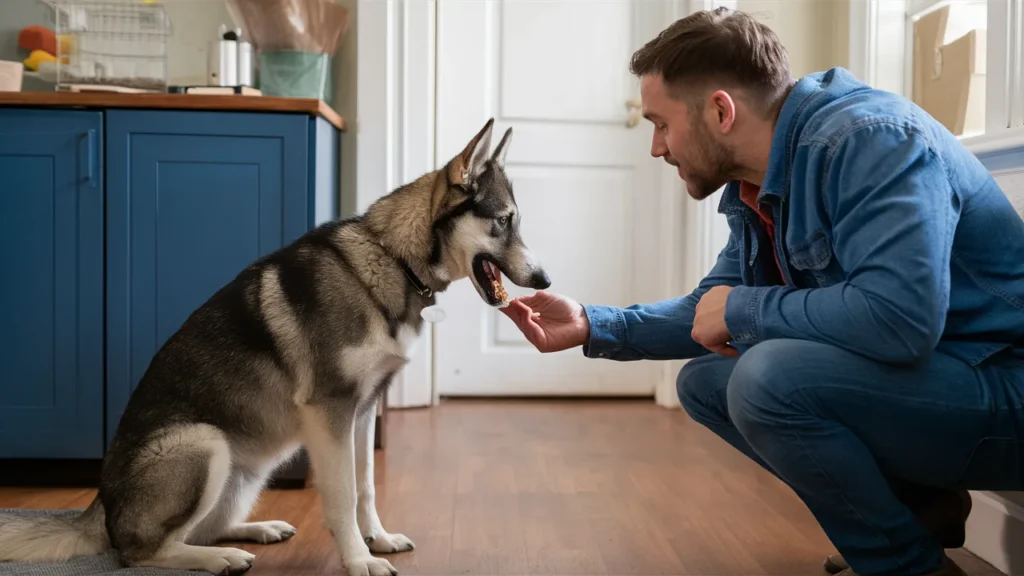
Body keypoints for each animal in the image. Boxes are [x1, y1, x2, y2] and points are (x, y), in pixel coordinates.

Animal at [0, 117, 552, 573]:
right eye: (504, 220)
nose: (545, 280)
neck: (392, 257)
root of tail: (100, 504)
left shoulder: (362, 412)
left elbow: (366, 486)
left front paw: (377, 539)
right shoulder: (331, 412)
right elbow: (342, 495)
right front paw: (358, 559)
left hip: (245, 472)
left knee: (205, 527)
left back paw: (254, 531)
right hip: (204, 444)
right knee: (142, 552)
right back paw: (220, 558)